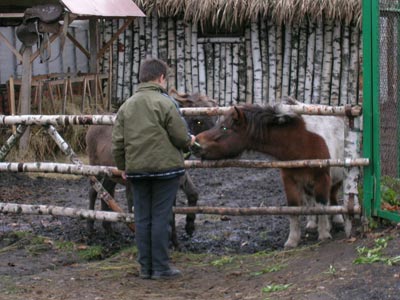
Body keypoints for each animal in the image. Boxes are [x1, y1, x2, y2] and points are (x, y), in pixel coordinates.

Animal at [194, 103, 344, 248]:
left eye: (224, 128)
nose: (195, 143)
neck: (300, 141)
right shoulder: (289, 180)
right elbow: (294, 208)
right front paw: (292, 240)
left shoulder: (322, 178)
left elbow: (322, 204)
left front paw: (324, 234)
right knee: (310, 199)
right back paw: (312, 224)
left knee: (332, 196)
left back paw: (337, 220)